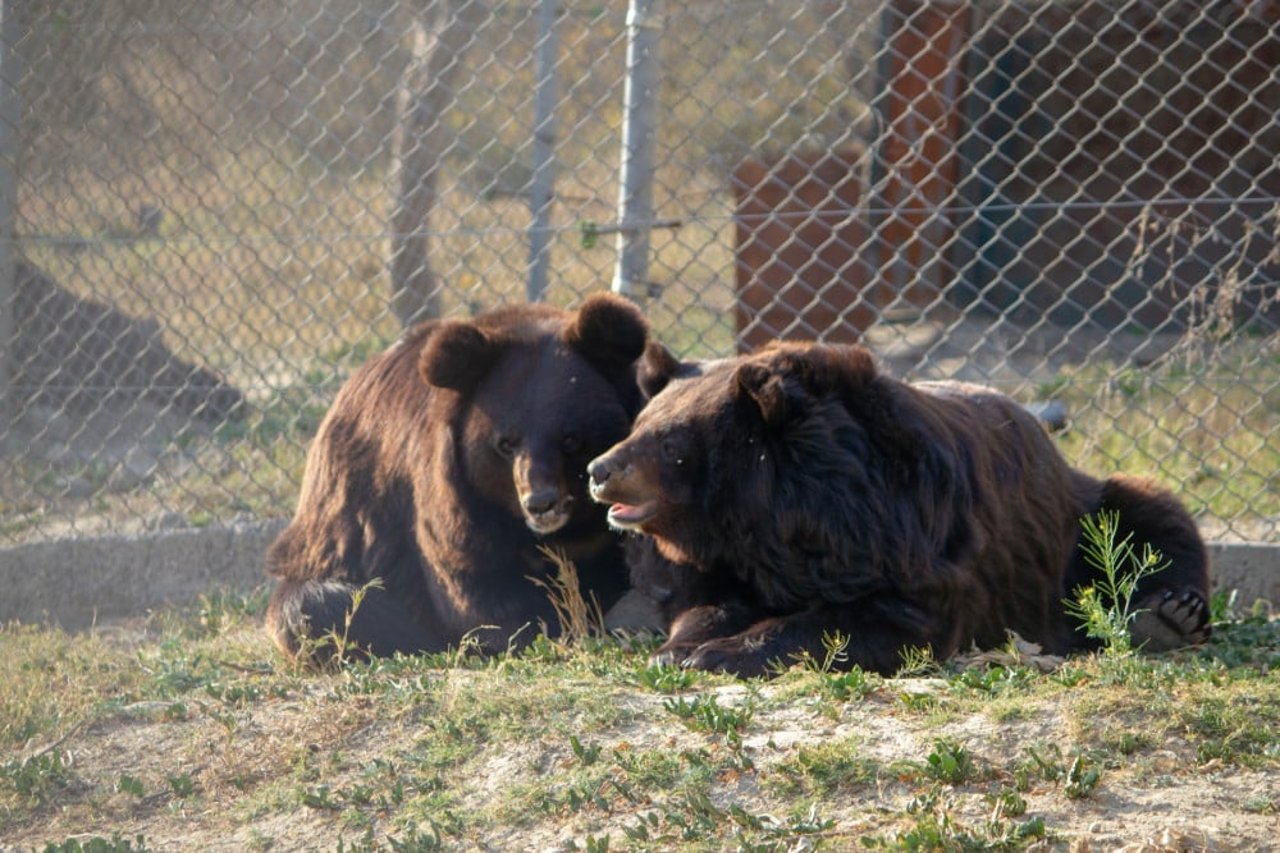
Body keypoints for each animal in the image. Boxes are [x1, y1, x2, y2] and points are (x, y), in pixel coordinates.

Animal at [267, 295, 650, 660]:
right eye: (505, 443)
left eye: (571, 439)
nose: (541, 504)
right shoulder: (452, 501)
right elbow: (476, 589)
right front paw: (547, 629)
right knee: (323, 605)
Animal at [588, 343, 1208, 676]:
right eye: (639, 424)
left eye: (671, 442)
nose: (599, 469)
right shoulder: (729, 558)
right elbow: (707, 604)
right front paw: (680, 648)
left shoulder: (900, 535)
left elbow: (881, 618)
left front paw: (718, 654)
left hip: (1078, 516)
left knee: (1151, 516)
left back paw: (1170, 613)